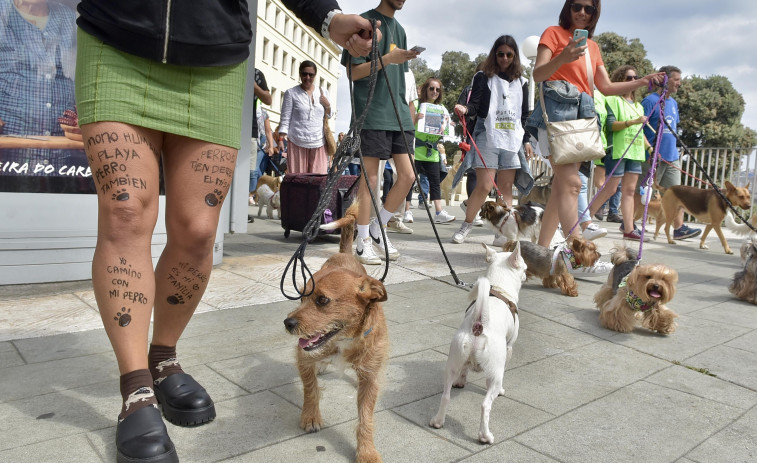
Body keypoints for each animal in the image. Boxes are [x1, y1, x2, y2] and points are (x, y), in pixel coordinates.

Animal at [284, 206, 390, 463]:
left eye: (322, 300)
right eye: (301, 297)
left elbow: (365, 417)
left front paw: (366, 451)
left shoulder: (370, 376)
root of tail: (345, 254)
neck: (344, 340)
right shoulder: (303, 357)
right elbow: (310, 388)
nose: (287, 323)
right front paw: (310, 416)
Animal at [428, 241, 528, 444]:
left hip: (453, 361)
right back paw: (485, 435)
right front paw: (502, 390)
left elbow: (465, 370)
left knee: (446, 396)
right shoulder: (509, 348)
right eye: (525, 267)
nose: (528, 275)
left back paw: (438, 421)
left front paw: (462, 381)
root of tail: (479, 324)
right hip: (494, 374)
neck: (498, 287)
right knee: (485, 405)